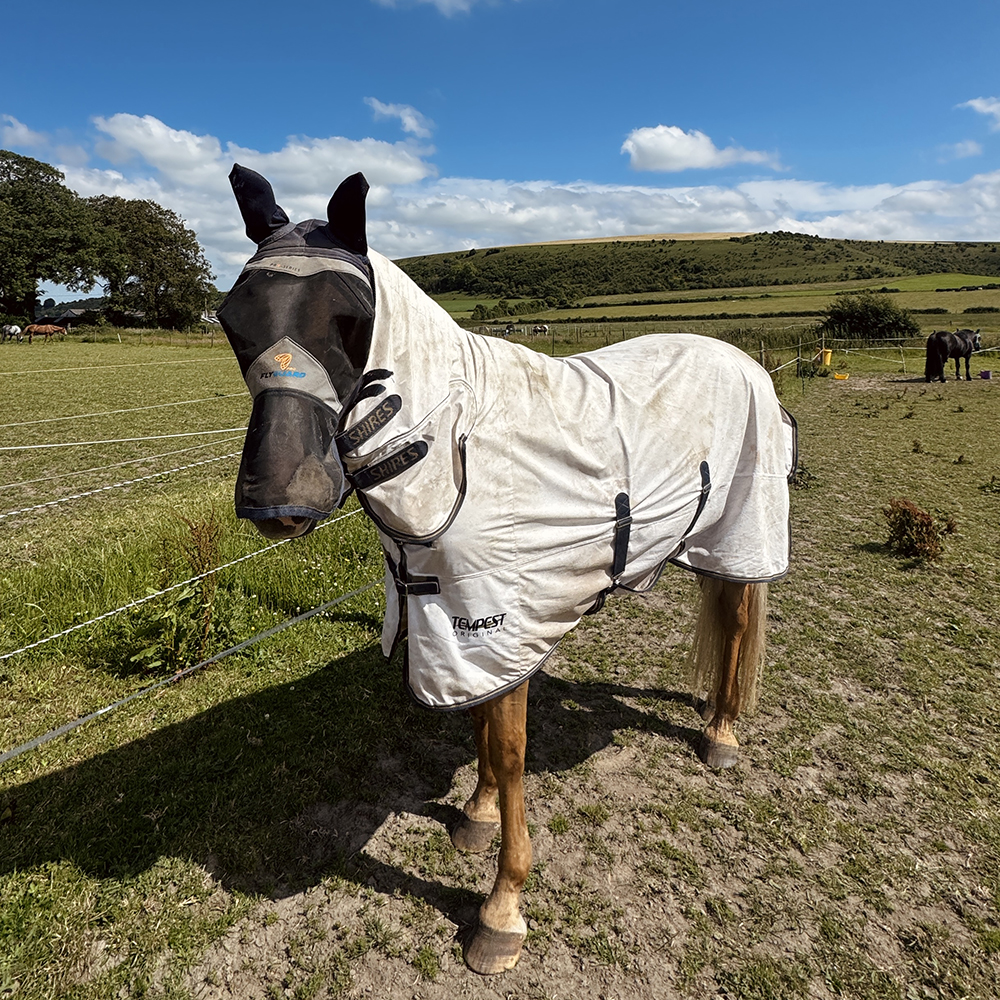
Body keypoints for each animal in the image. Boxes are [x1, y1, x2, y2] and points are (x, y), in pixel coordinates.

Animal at [216, 165, 797, 975]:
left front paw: (502, 909)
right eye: (232, 318)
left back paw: (721, 734)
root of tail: (741, 357)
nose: (278, 498)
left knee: (739, 621)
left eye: (348, 318)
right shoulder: (453, 624)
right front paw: (478, 812)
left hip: (743, 531)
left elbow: (513, 748)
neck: (458, 445)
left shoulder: (504, 619)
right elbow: (481, 724)